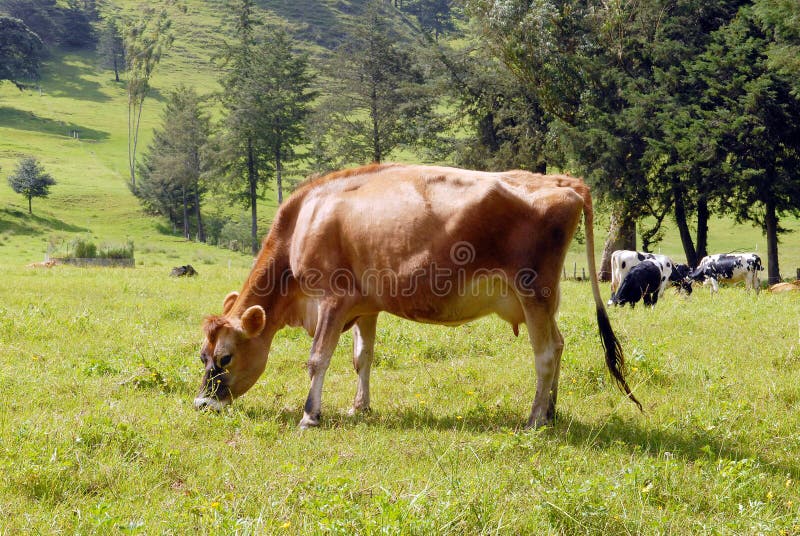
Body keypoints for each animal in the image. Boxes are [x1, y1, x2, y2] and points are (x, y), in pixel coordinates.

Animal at [194, 164, 641, 429]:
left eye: (225, 358)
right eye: (202, 355)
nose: (201, 404)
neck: (306, 220)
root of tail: (565, 182)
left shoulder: (332, 299)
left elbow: (318, 358)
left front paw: (310, 415)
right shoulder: (365, 306)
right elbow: (362, 357)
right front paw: (360, 406)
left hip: (534, 290)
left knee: (545, 353)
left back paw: (532, 420)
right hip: (546, 299)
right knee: (560, 345)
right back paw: (550, 411)